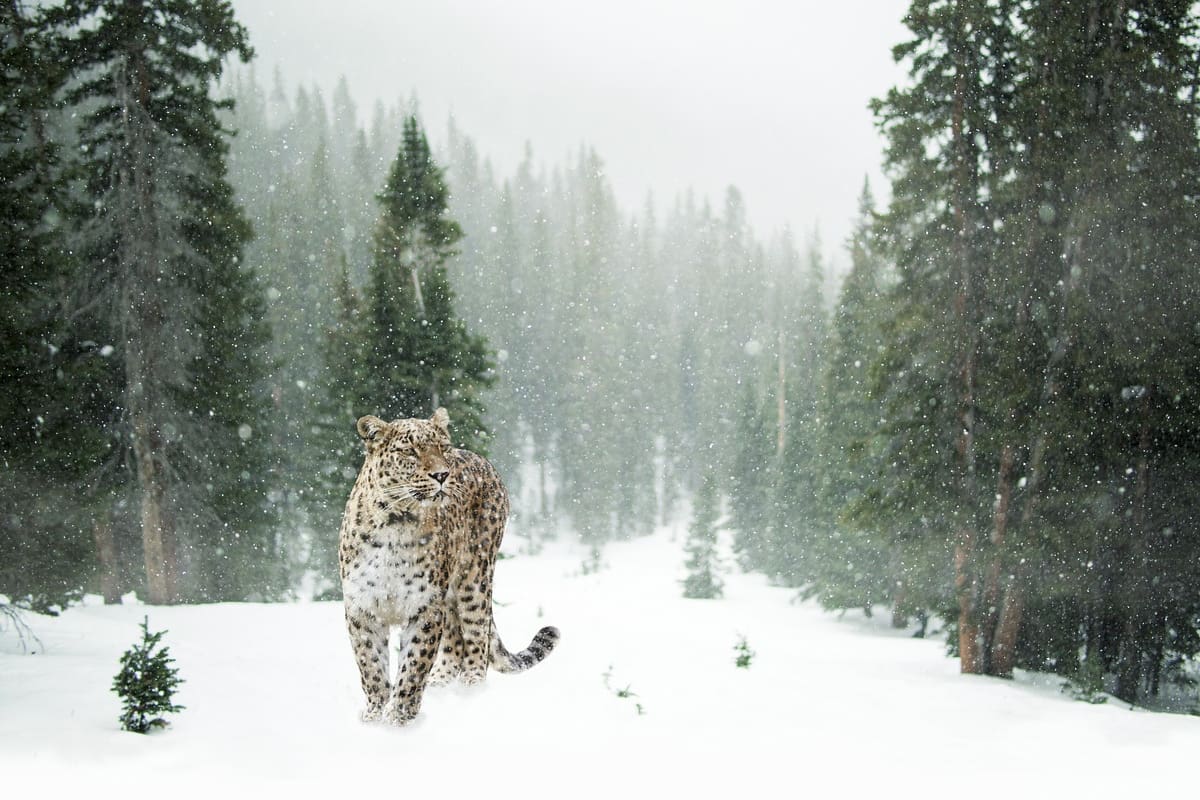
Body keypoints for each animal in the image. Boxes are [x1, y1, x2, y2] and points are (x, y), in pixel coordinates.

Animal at [338, 407, 559, 725]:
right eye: (410, 451)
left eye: (442, 448)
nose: (442, 474)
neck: (396, 522)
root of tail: (483, 460)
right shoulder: (362, 608)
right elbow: (371, 666)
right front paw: (374, 716)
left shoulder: (425, 607)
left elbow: (413, 666)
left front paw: (399, 718)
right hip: (452, 595)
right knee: (455, 639)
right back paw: (441, 684)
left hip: (474, 578)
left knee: (476, 636)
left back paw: (470, 690)